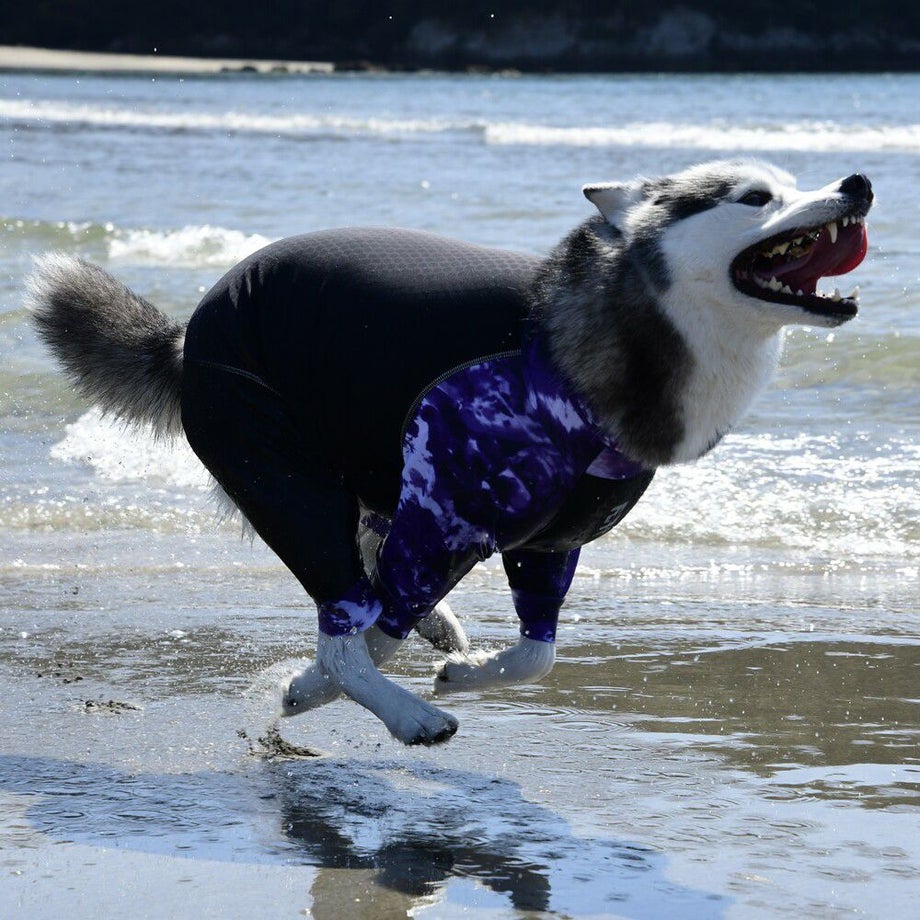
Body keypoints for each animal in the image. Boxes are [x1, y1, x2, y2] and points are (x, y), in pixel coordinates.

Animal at [27, 159, 872, 746]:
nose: (857, 183)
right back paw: (402, 712)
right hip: (283, 473)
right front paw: (312, 685)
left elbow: (536, 656)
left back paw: (433, 635)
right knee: (348, 613)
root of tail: (187, 337)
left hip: (365, 481)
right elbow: (360, 639)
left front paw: (461, 672)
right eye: (756, 197)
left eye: (796, 179)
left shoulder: (550, 538)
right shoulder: (444, 507)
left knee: (374, 584)